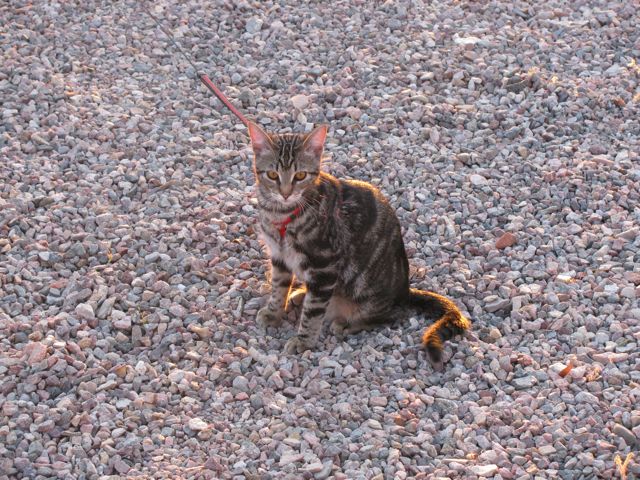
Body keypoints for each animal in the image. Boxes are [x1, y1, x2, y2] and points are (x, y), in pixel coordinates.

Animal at [248, 122, 471, 365]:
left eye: (300, 175)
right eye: (272, 174)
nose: (286, 193)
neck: (281, 214)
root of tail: (405, 292)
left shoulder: (325, 265)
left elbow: (313, 312)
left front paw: (304, 341)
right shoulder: (279, 255)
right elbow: (278, 287)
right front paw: (274, 312)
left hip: (367, 295)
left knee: (392, 315)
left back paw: (346, 323)